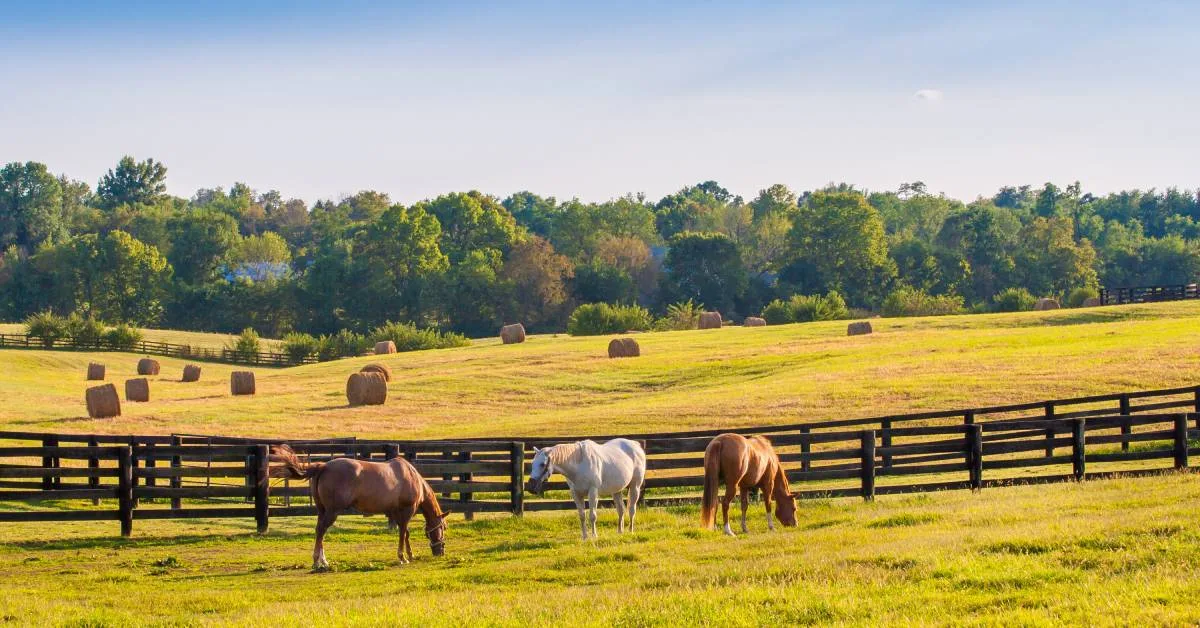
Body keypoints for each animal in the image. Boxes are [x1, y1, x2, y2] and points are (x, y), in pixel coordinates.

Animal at [269, 445, 449, 570]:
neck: (412, 477)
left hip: (322, 511)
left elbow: (405, 533)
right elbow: (404, 533)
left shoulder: (396, 513)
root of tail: (324, 467)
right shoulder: (407, 511)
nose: (440, 552)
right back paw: (318, 562)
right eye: (443, 527)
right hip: (332, 512)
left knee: (319, 531)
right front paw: (403, 557)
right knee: (321, 531)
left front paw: (409, 555)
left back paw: (323, 560)